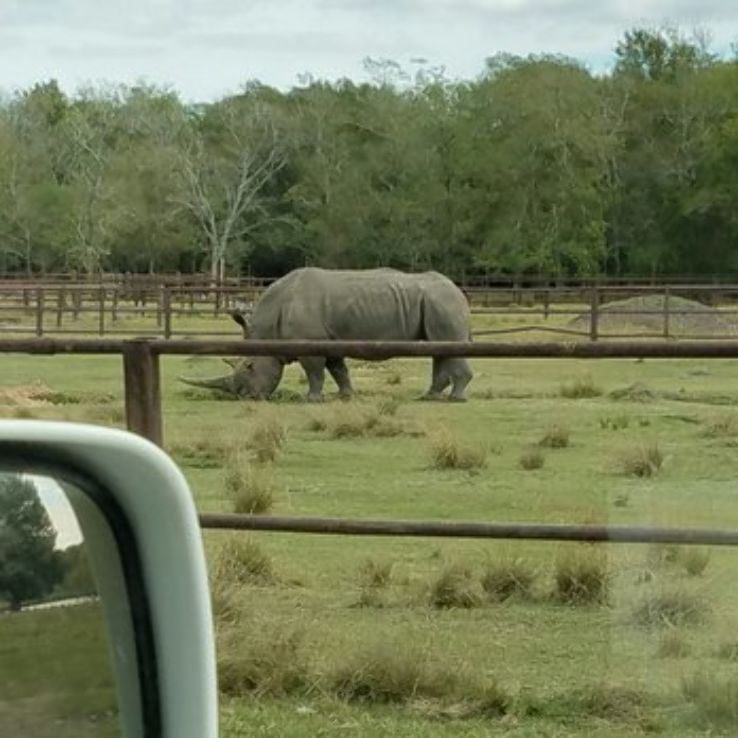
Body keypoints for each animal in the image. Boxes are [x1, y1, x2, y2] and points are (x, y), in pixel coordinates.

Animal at [181, 266, 474, 400]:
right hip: (438, 303)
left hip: (442, 303)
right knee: (440, 350)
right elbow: (338, 369)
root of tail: (460, 292)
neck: (269, 325)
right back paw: (430, 397)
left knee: (448, 347)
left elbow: (315, 371)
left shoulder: (309, 342)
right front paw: (346, 397)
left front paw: (312, 400)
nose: (247, 397)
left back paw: (454, 399)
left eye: (250, 366)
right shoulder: (330, 340)